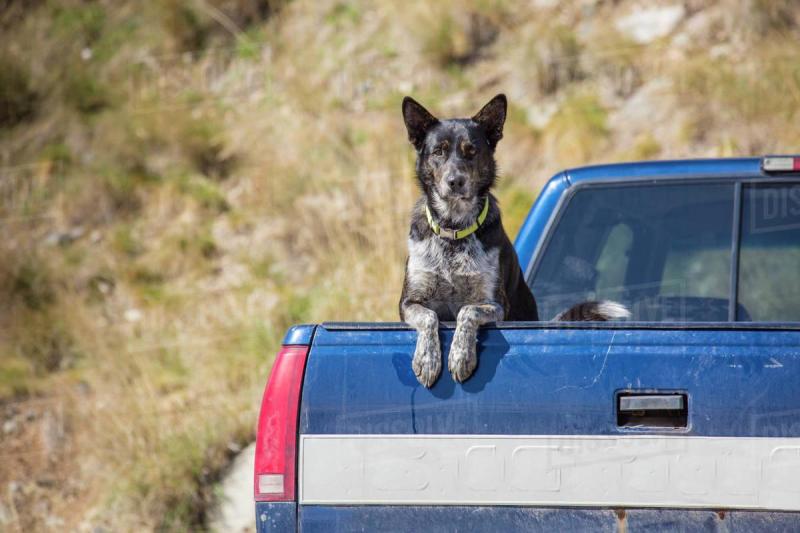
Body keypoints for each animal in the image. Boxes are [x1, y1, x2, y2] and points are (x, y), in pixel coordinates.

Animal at [396, 94, 628, 386]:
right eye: (438, 151)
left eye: (471, 150)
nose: (455, 181)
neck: (454, 229)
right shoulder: (409, 302)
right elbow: (429, 317)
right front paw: (427, 360)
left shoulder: (496, 304)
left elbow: (467, 311)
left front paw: (460, 356)